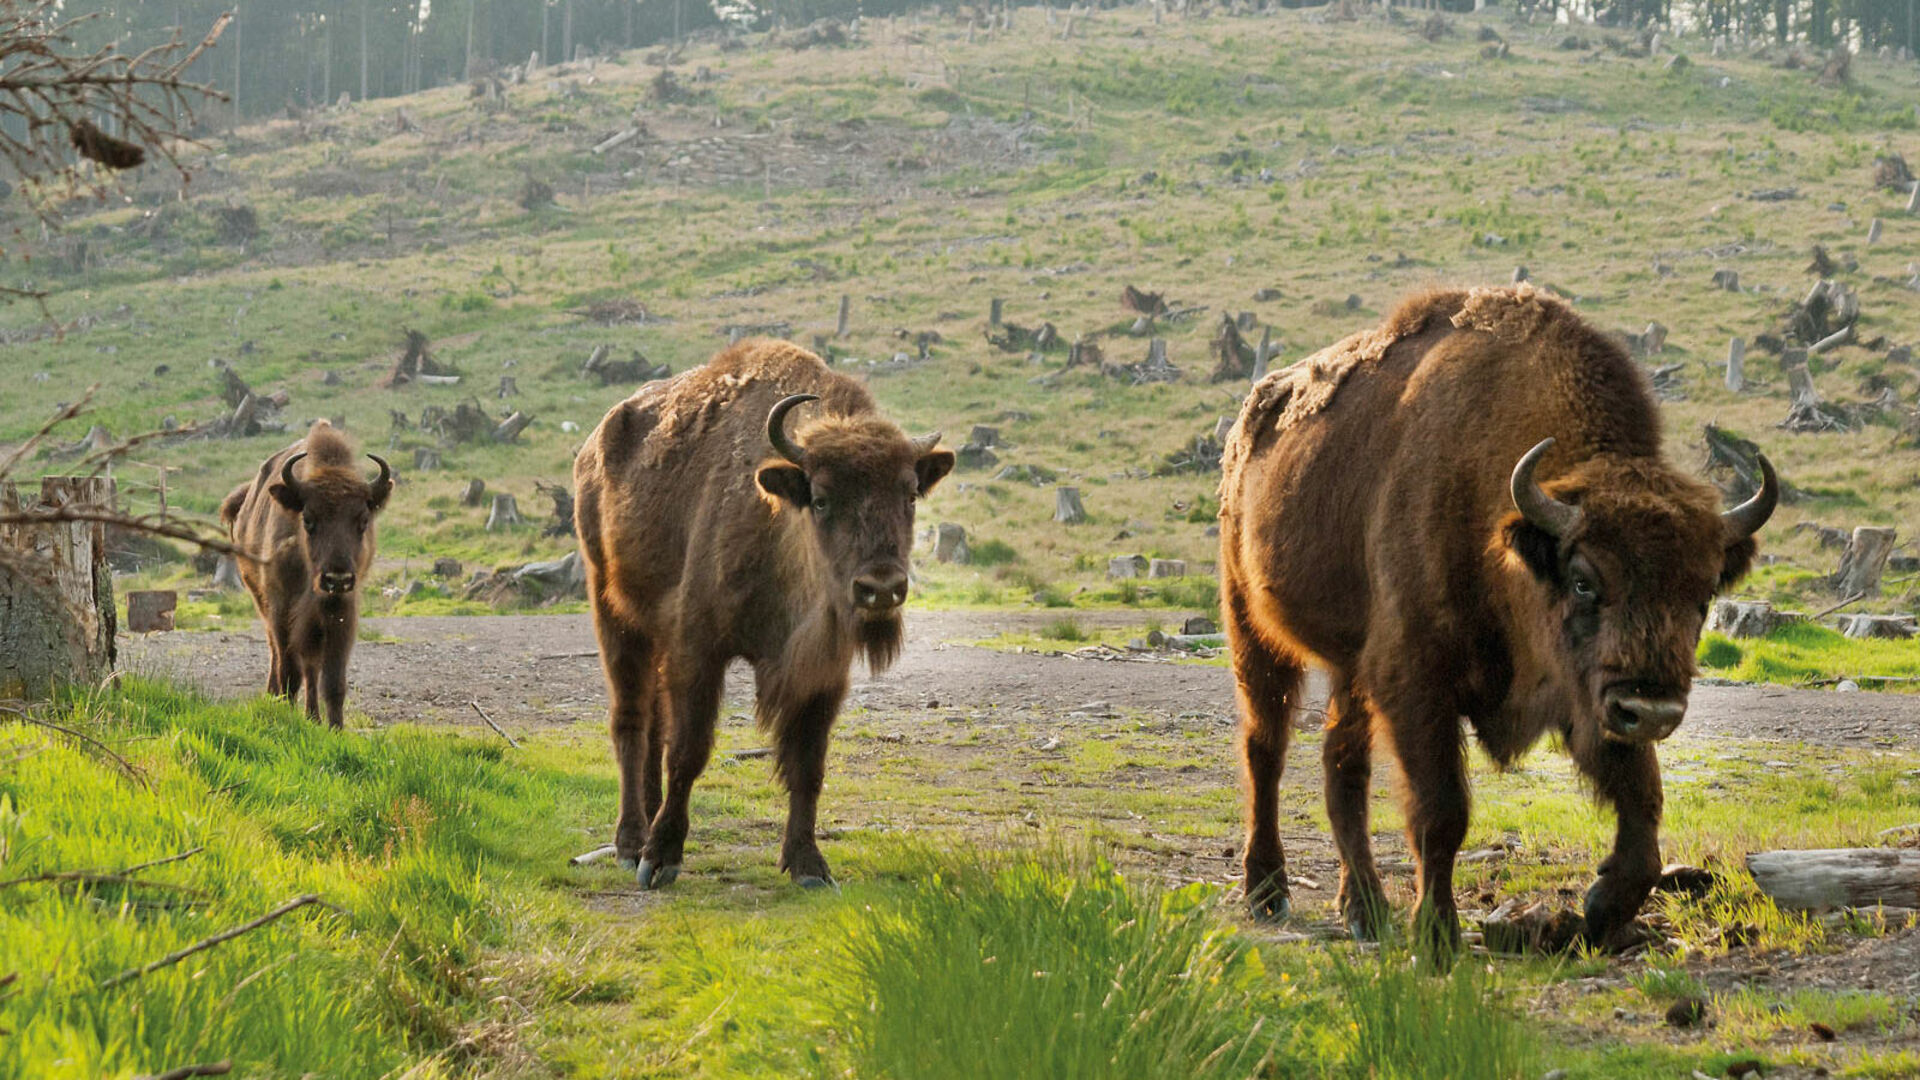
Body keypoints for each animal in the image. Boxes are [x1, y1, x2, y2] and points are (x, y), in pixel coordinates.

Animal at [219, 417, 389, 726]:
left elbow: (333, 680)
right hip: (261, 601)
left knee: (311, 668)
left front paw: (335, 728)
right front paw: (286, 715)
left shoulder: (340, 612)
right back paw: (275, 697)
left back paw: (313, 717)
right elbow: (289, 671)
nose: (337, 578)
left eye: (363, 520)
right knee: (278, 656)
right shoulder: (281, 610)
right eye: (308, 519)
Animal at [572, 336, 956, 883]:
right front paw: (661, 859)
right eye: (821, 498)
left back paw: (644, 821)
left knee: (652, 723)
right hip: (614, 611)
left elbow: (807, 765)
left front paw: (808, 864)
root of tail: (593, 446)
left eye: (909, 495)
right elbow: (688, 751)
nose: (880, 588)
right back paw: (630, 843)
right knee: (631, 720)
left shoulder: (822, 673)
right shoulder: (699, 650)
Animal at [1221, 284, 1774, 949]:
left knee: (1341, 766)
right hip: (1252, 627)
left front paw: (1600, 908)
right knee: (1266, 749)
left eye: (1703, 595)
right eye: (1583, 580)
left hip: (1351, 668)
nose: (1652, 711)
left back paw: (1365, 909)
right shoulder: (1417, 680)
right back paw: (1267, 891)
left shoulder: (1582, 694)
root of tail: (1248, 424)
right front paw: (1436, 937)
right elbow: (1442, 813)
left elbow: (1643, 800)